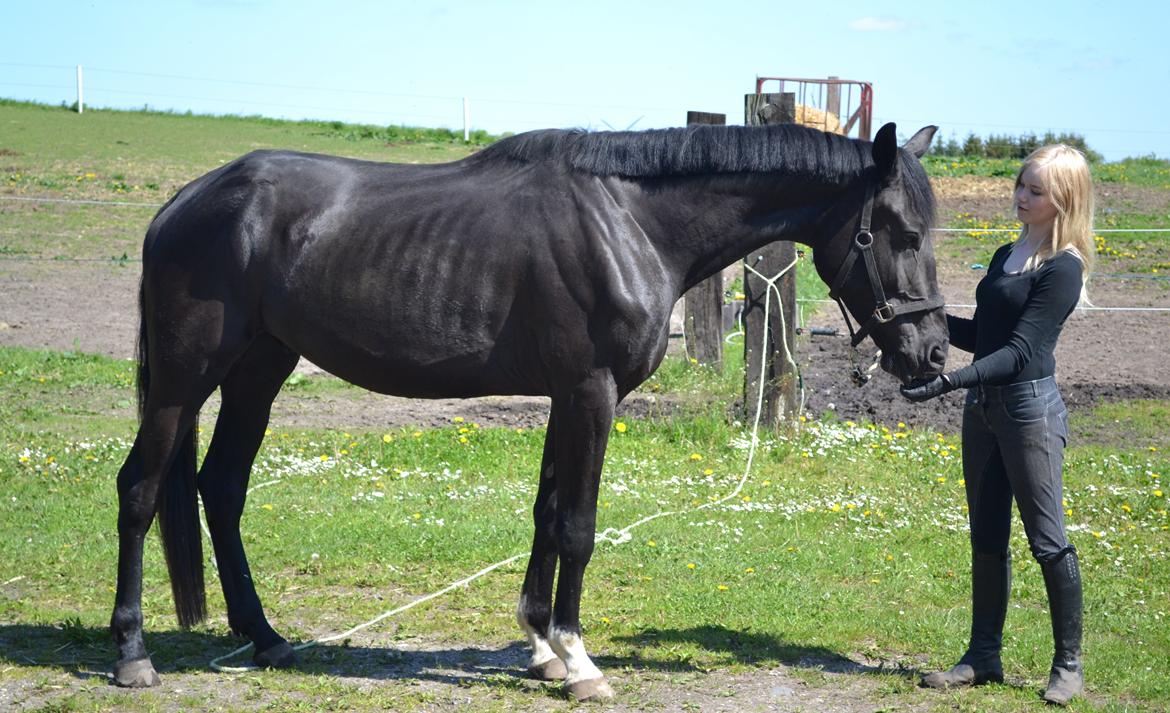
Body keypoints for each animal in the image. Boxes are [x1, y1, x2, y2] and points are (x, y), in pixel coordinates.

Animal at [109, 119, 950, 697]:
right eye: (899, 232)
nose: (935, 354)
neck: (632, 224)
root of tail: (181, 203)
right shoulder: (591, 392)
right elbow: (577, 524)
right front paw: (579, 660)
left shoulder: (563, 397)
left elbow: (546, 513)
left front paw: (542, 648)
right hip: (186, 378)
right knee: (141, 491)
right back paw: (133, 653)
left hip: (260, 368)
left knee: (221, 487)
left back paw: (266, 638)